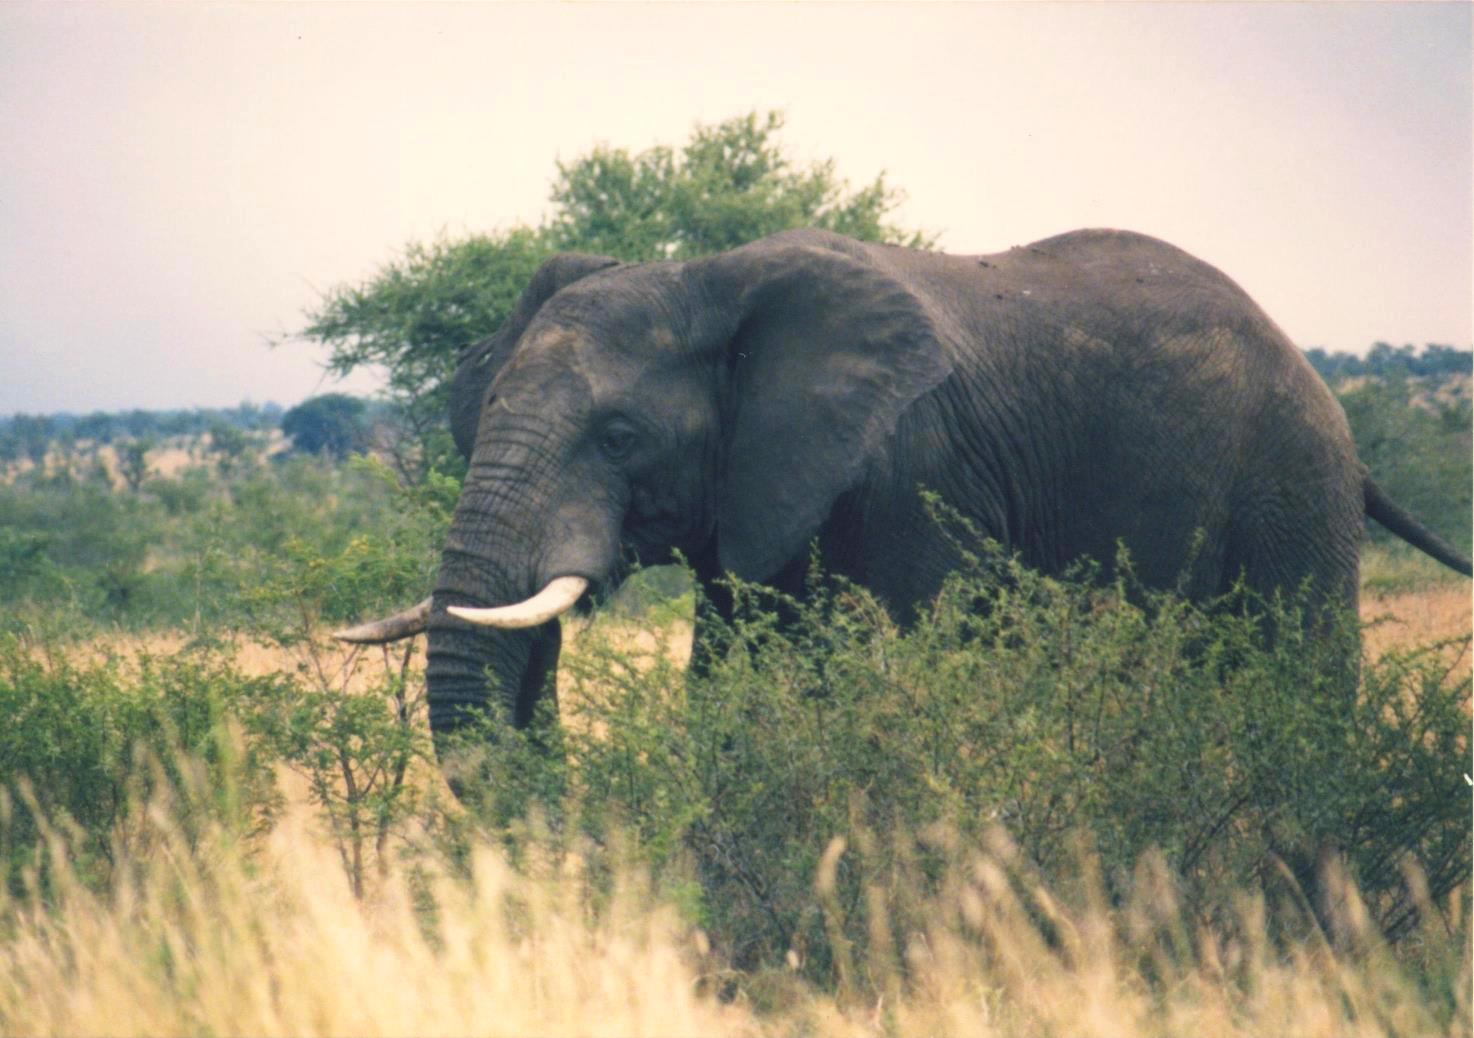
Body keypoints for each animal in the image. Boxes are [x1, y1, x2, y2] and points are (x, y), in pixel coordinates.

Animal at [335, 228, 1472, 765]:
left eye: (618, 438)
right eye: (475, 421)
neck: (705, 275)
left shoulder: (917, 472)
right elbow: (731, 681)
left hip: (1289, 487)